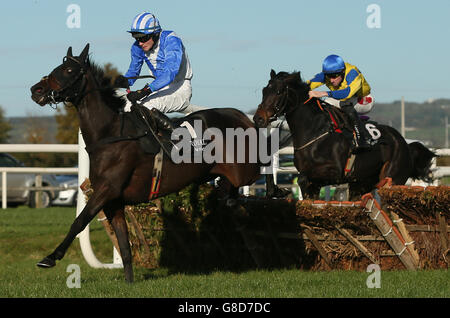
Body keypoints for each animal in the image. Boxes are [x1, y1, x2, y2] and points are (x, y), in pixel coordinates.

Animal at [30, 42, 274, 284]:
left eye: (69, 70)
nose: (36, 90)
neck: (110, 133)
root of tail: (244, 118)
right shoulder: (114, 202)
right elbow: (125, 247)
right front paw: (129, 281)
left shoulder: (106, 190)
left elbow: (80, 221)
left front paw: (50, 258)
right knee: (234, 194)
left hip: (244, 170)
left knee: (260, 169)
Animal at [255, 70, 434, 199]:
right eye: (264, 90)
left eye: (279, 91)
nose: (259, 118)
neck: (315, 131)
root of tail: (405, 144)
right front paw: (276, 190)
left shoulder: (334, 172)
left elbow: (303, 179)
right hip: (360, 183)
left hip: (393, 177)